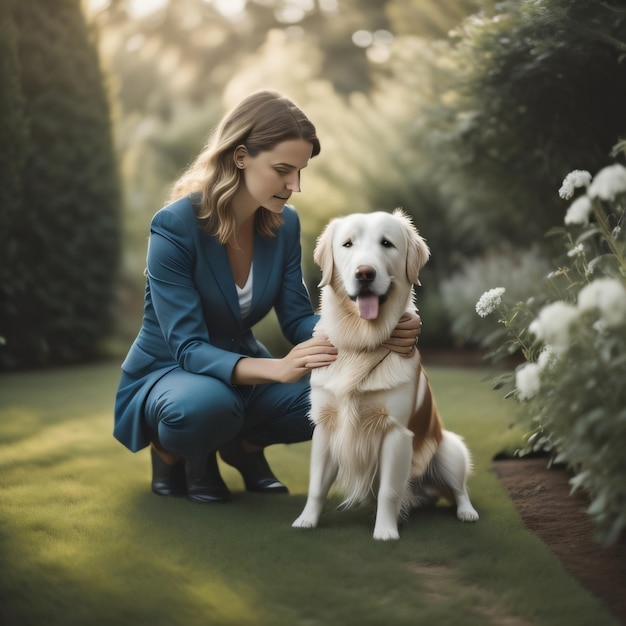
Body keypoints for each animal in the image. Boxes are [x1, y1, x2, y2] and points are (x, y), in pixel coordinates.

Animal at [290, 208, 476, 536]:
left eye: (387, 243)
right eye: (347, 244)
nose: (365, 273)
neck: (361, 343)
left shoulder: (395, 432)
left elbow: (389, 490)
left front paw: (385, 532)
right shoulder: (325, 426)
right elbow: (317, 486)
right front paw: (306, 520)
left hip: (450, 449)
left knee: (459, 489)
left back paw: (467, 512)